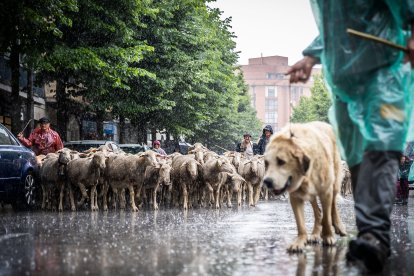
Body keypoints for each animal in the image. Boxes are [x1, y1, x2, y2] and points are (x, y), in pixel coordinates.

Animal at [264, 121, 348, 252]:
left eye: (281, 161)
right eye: (266, 163)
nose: (266, 181)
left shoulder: (326, 192)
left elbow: (327, 217)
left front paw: (328, 236)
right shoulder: (295, 196)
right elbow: (300, 223)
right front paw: (300, 241)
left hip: (334, 182)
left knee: (333, 206)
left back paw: (338, 226)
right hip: (311, 194)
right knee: (318, 211)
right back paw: (315, 234)